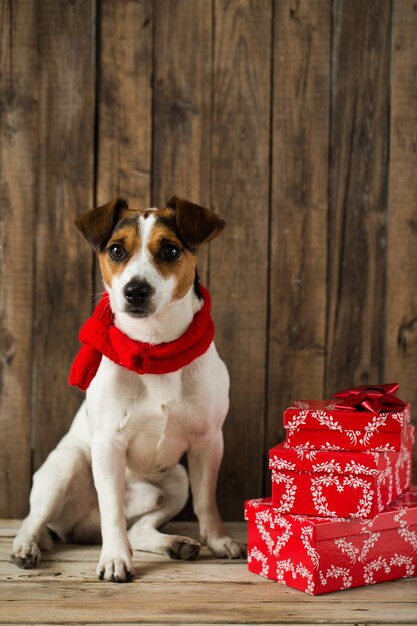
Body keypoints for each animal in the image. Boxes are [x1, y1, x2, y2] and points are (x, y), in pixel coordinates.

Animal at [9, 195, 245, 580]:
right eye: (117, 250)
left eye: (170, 250)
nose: (135, 290)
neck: (154, 348)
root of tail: (79, 527)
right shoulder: (108, 444)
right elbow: (113, 512)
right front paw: (115, 559)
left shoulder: (208, 441)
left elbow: (207, 501)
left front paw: (219, 540)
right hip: (65, 466)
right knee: (36, 519)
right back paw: (25, 547)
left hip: (176, 480)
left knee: (139, 527)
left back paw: (173, 543)